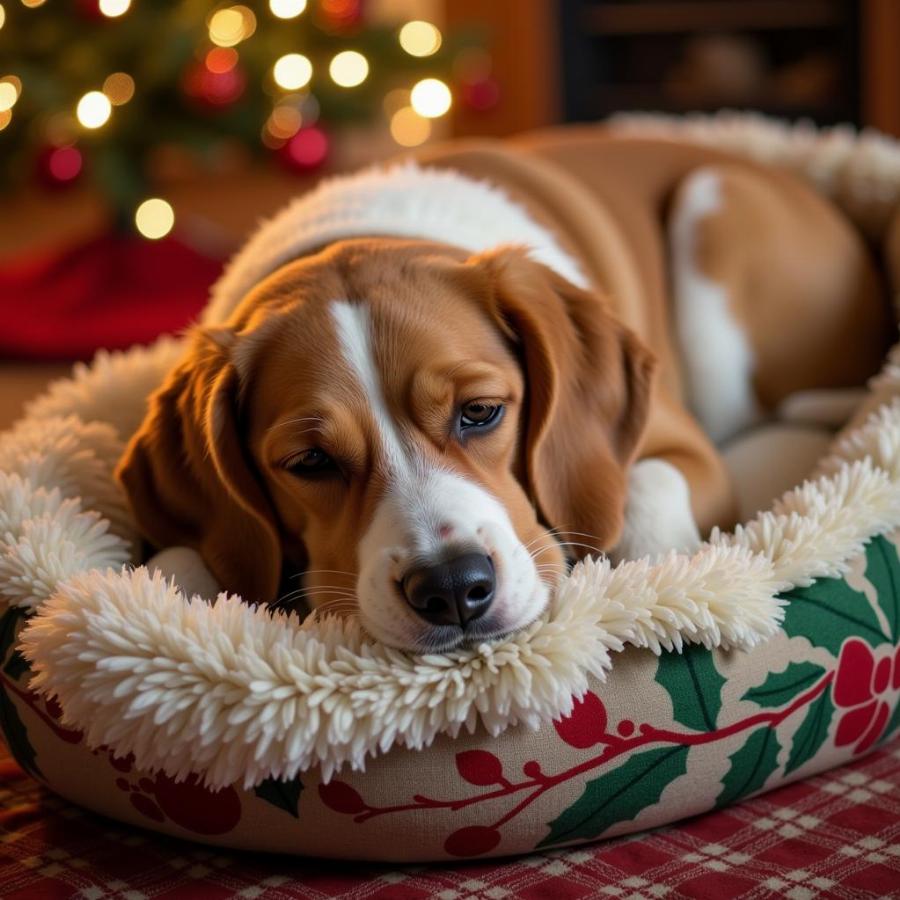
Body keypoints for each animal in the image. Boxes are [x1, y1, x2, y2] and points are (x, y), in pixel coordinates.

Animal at [114, 126, 892, 652]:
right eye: (310, 462)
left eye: (481, 412)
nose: (452, 588)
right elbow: (177, 561)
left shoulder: (688, 452)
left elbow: (642, 498)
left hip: (714, 215)